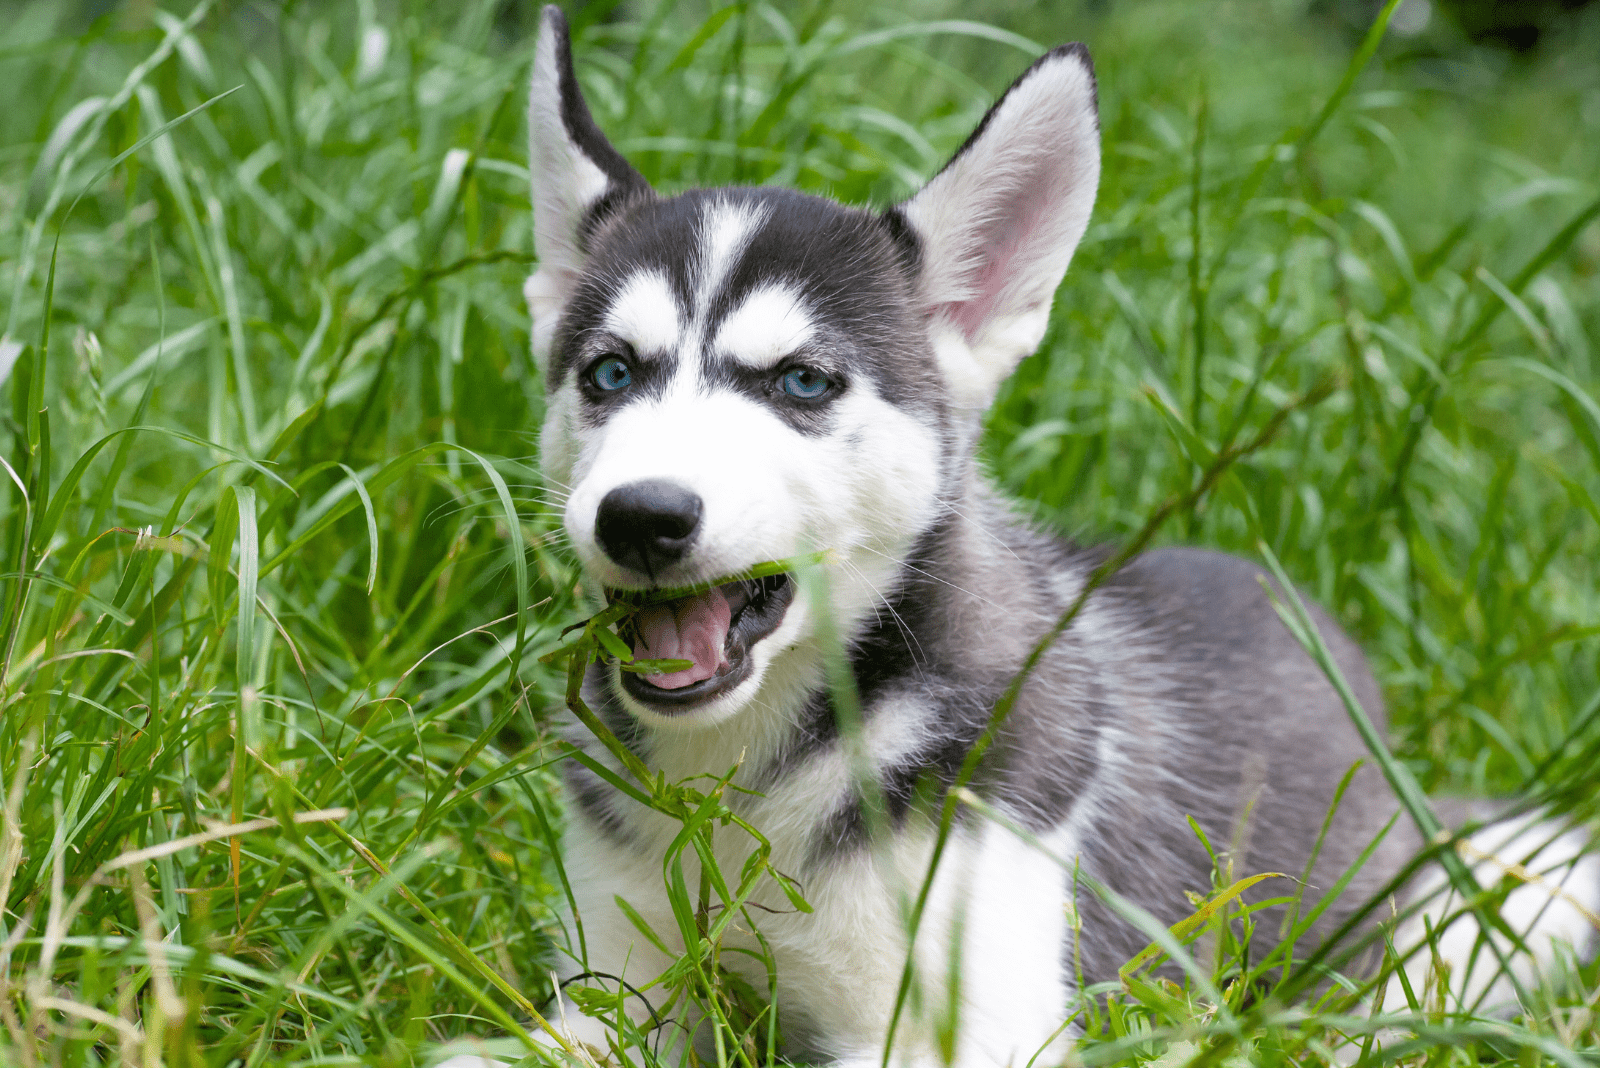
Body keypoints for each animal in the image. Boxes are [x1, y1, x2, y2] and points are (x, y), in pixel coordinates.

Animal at [438, 8, 1600, 1068]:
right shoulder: (615, 995)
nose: (640, 515)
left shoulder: (965, 1017)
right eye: (609, 373)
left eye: (802, 383)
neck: (741, 787)